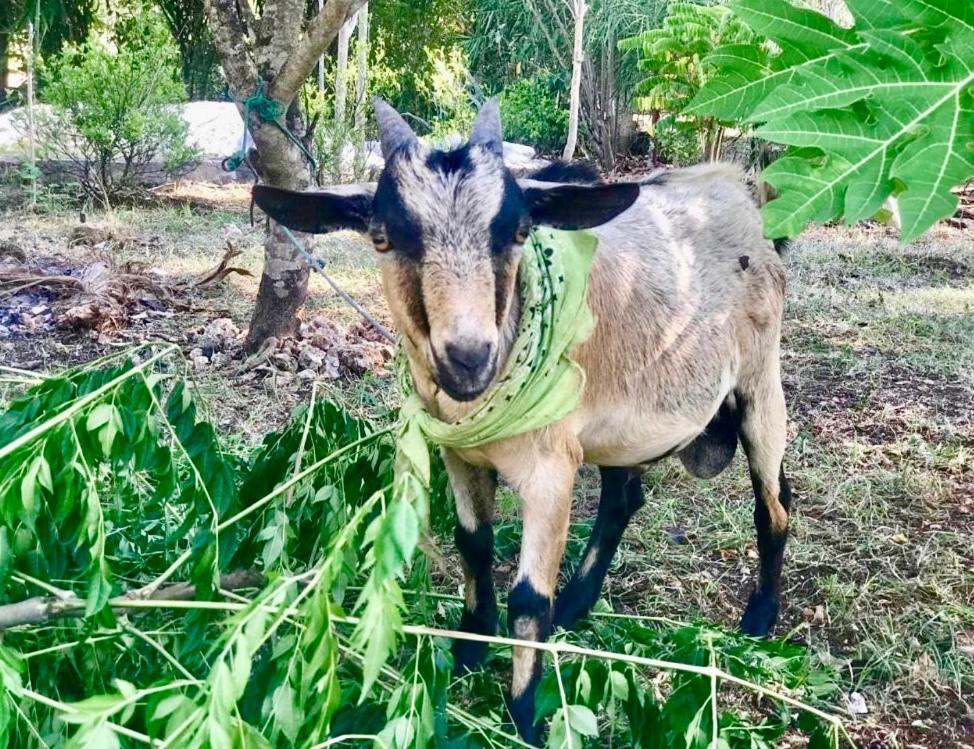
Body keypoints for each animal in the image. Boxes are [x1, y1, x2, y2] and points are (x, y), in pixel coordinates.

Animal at [252, 99, 792, 744]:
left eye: (516, 231)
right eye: (383, 237)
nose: (468, 356)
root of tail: (739, 186)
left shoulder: (550, 470)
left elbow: (530, 598)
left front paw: (524, 719)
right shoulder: (460, 455)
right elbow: (474, 544)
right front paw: (469, 648)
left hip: (759, 381)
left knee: (774, 501)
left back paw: (760, 616)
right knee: (623, 499)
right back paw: (579, 604)